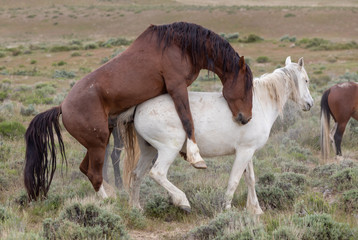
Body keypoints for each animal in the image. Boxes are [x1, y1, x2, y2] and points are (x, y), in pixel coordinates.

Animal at [23, 21, 253, 201]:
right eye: (247, 85)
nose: (246, 118)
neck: (181, 46)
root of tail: (62, 107)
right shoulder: (177, 87)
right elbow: (187, 119)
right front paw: (195, 156)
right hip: (98, 144)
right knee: (94, 173)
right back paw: (109, 202)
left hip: (97, 142)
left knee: (85, 169)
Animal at [118, 56, 314, 214]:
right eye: (306, 80)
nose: (310, 104)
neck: (258, 104)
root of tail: (140, 106)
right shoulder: (243, 152)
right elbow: (234, 180)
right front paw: (226, 209)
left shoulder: (248, 151)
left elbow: (250, 179)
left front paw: (256, 210)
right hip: (168, 149)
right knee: (157, 173)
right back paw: (182, 201)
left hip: (149, 150)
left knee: (137, 175)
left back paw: (136, 208)